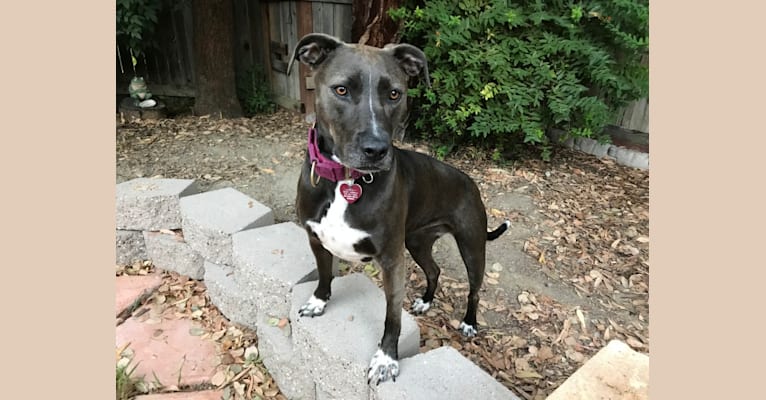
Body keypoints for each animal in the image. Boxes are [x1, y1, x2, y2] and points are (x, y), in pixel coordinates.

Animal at [288, 33, 510, 384]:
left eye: (395, 93)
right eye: (341, 89)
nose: (377, 150)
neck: (345, 181)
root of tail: (469, 182)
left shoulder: (392, 260)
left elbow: (392, 315)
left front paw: (386, 359)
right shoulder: (315, 238)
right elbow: (324, 275)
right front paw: (318, 302)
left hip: (472, 246)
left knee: (475, 289)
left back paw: (469, 322)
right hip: (417, 241)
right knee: (434, 270)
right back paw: (426, 302)